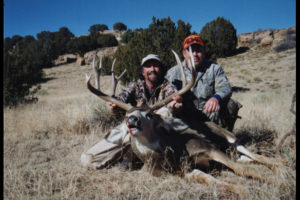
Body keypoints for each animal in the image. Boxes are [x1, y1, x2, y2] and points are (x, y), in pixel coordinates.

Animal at [85, 48, 286, 195]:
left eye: (150, 115)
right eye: (127, 116)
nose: (132, 120)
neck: (170, 156)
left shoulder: (208, 147)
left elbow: (242, 170)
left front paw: (277, 182)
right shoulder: (184, 172)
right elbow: (209, 178)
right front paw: (244, 189)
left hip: (228, 136)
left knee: (254, 155)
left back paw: (282, 166)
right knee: (246, 158)